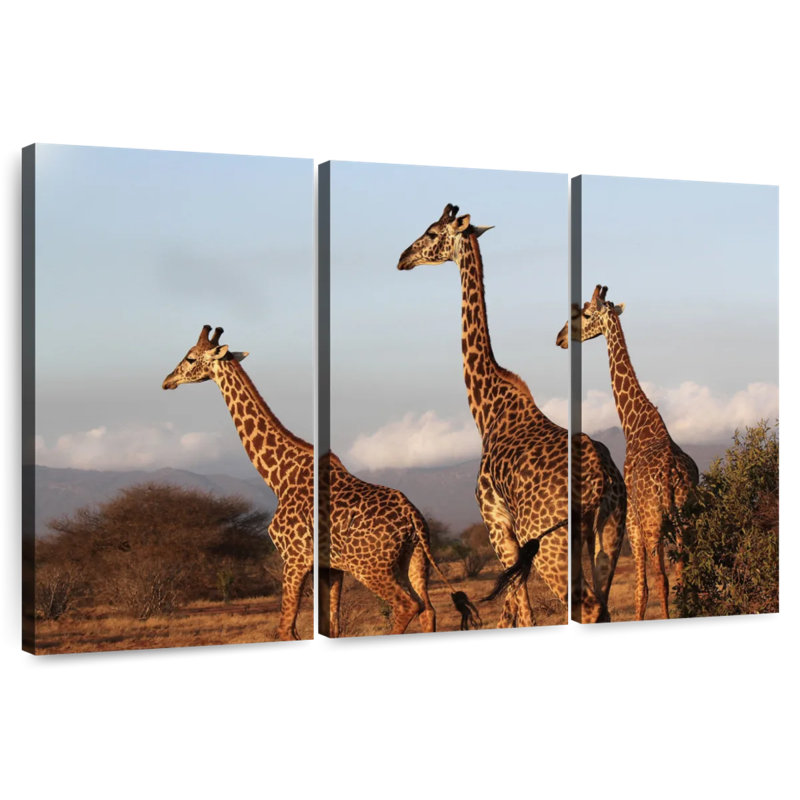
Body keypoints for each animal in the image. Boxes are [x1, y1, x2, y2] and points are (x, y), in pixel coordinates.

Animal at [398, 204, 626, 625]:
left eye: (433, 233)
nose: (403, 258)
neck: (487, 412)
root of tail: (602, 479)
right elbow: (512, 610)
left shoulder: (497, 525)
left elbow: (520, 610)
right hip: (611, 534)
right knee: (601, 606)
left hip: (553, 542)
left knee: (583, 606)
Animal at [557, 285, 699, 619]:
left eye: (585, 313)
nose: (561, 337)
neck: (636, 424)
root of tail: (673, 475)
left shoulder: (634, 520)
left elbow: (641, 588)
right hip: (685, 520)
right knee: (687, 572)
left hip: (652, 522)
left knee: (661, 579)